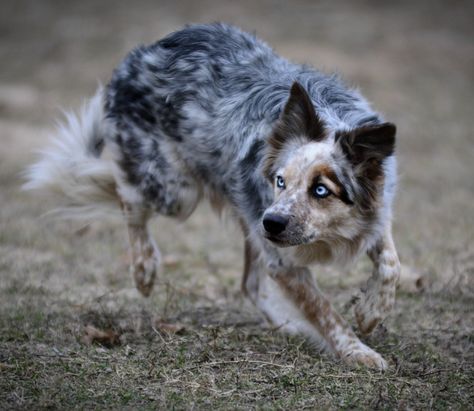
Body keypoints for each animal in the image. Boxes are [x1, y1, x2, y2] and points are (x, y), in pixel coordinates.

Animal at [25, 22, 400, 370]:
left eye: (321, 190)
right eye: (280, 181)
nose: (272, 221)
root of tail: (139, 54)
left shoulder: (375, 212)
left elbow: (391, 264)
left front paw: (370, 312)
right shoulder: (283, 257)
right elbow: (323, 310)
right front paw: (356, 351)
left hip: (240, 211)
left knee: (250, 284)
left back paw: (288, 324)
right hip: (178, 193)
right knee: (127, 197)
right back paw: (144, 268)